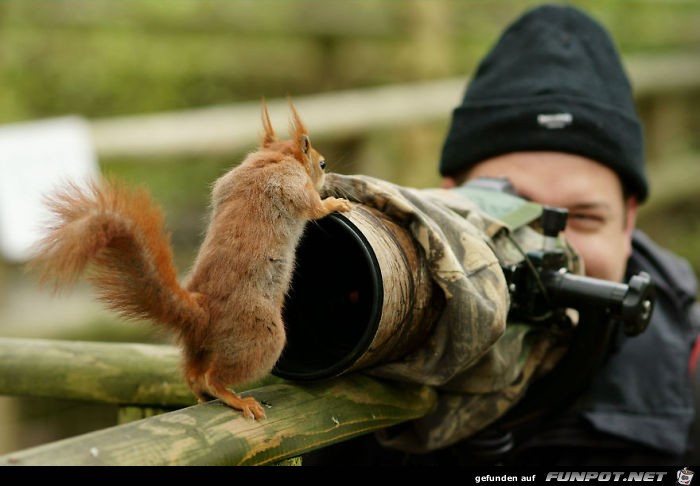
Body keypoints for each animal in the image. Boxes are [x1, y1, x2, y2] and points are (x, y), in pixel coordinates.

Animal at [30, 100, 352, 420]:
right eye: (321, 164)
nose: (327, 174)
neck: (273, 157)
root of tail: (201, 312)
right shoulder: (289, 183)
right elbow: (312, 207)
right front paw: (334, 203)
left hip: (199, 347)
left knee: (194, 375)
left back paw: (201, 394)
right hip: (262, 336)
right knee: (214, 377)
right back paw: (236, 399)